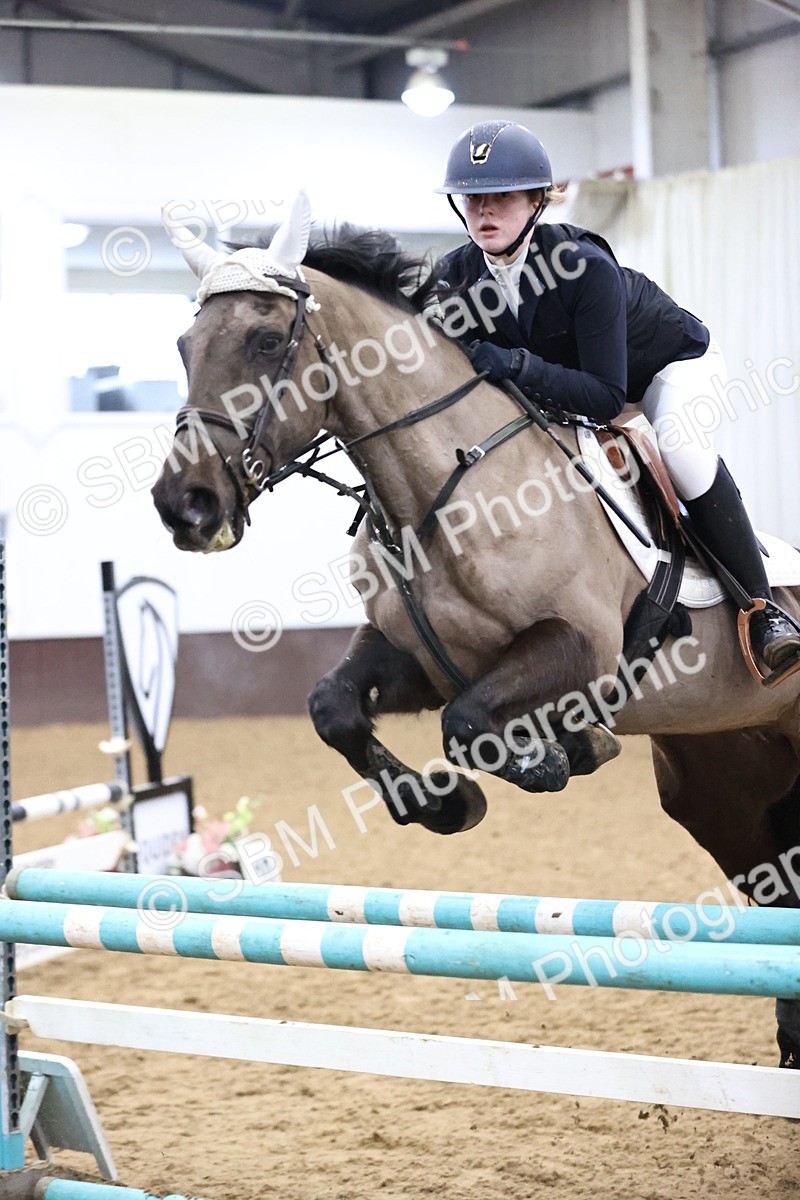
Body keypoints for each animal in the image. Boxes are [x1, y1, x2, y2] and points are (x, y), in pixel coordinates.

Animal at [152, 195, 800, 1059]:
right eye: (185, 345)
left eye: (263, 340)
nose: (184, 506)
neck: (445, 486)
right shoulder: (417, 658)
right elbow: (335, 707)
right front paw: (446, 803)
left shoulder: (583, 650)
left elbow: (467, 724)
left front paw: (553, 758)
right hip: (722, 786)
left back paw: (771, 634)